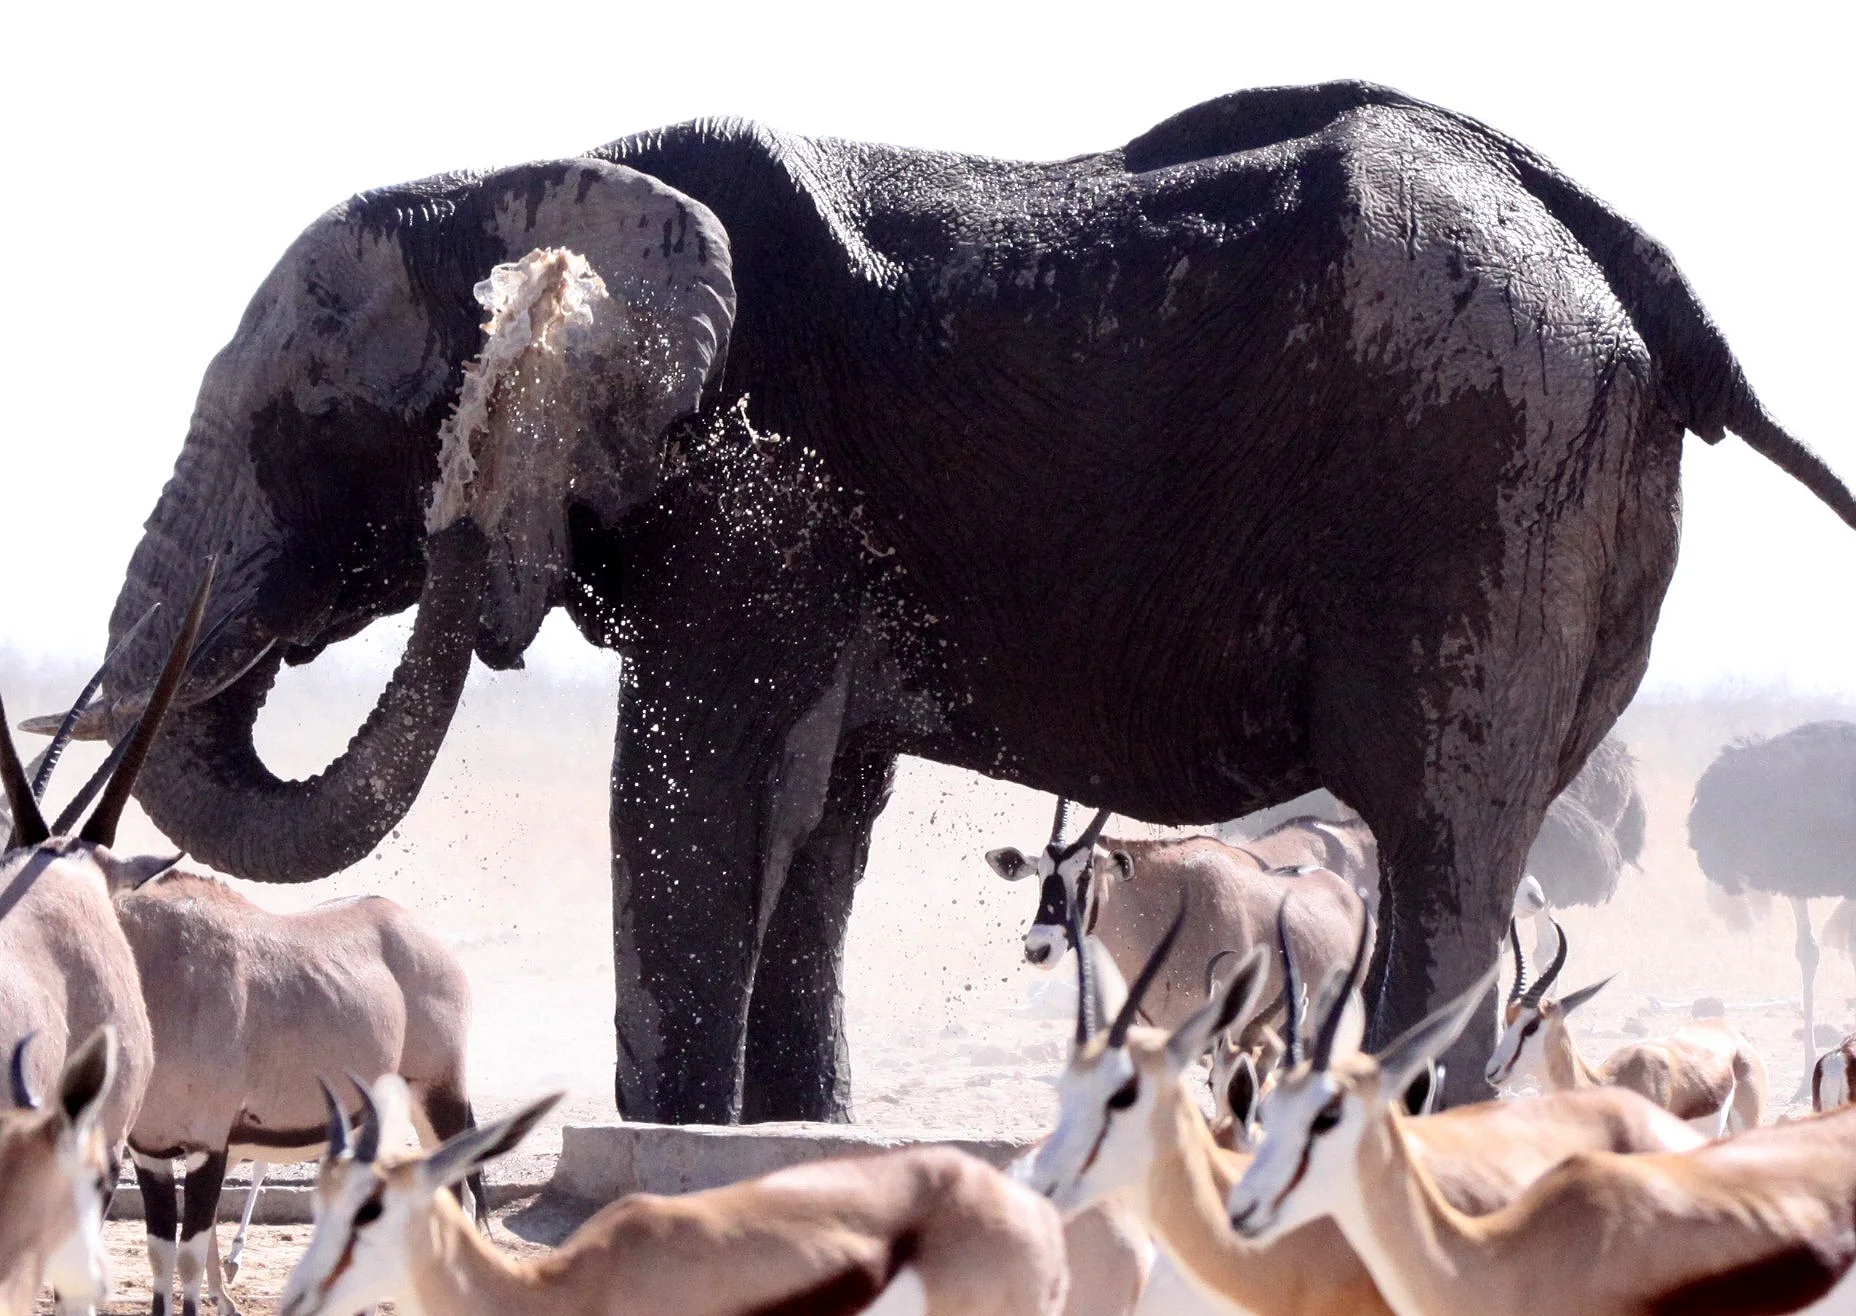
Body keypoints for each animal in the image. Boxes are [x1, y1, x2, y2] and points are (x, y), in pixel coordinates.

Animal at [67, 80, 1856, 1120]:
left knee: (1441, 843)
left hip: (1481, 478)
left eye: (313, 419)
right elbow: (812, 822)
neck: (534, 173)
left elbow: (699, 797)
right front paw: (795, 1149)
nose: (461, 540)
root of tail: (1646, 275)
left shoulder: (761, 491)